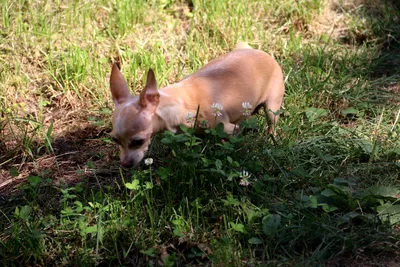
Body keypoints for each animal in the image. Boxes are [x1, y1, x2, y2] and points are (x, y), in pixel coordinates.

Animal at [109, 43, 284, 169]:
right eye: (115, 140)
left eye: (138, 141)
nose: (124, 164)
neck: (177, 103)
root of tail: (262, 53)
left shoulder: (228, 129)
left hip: (272, 107)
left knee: (271, 125)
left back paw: (271, 141)